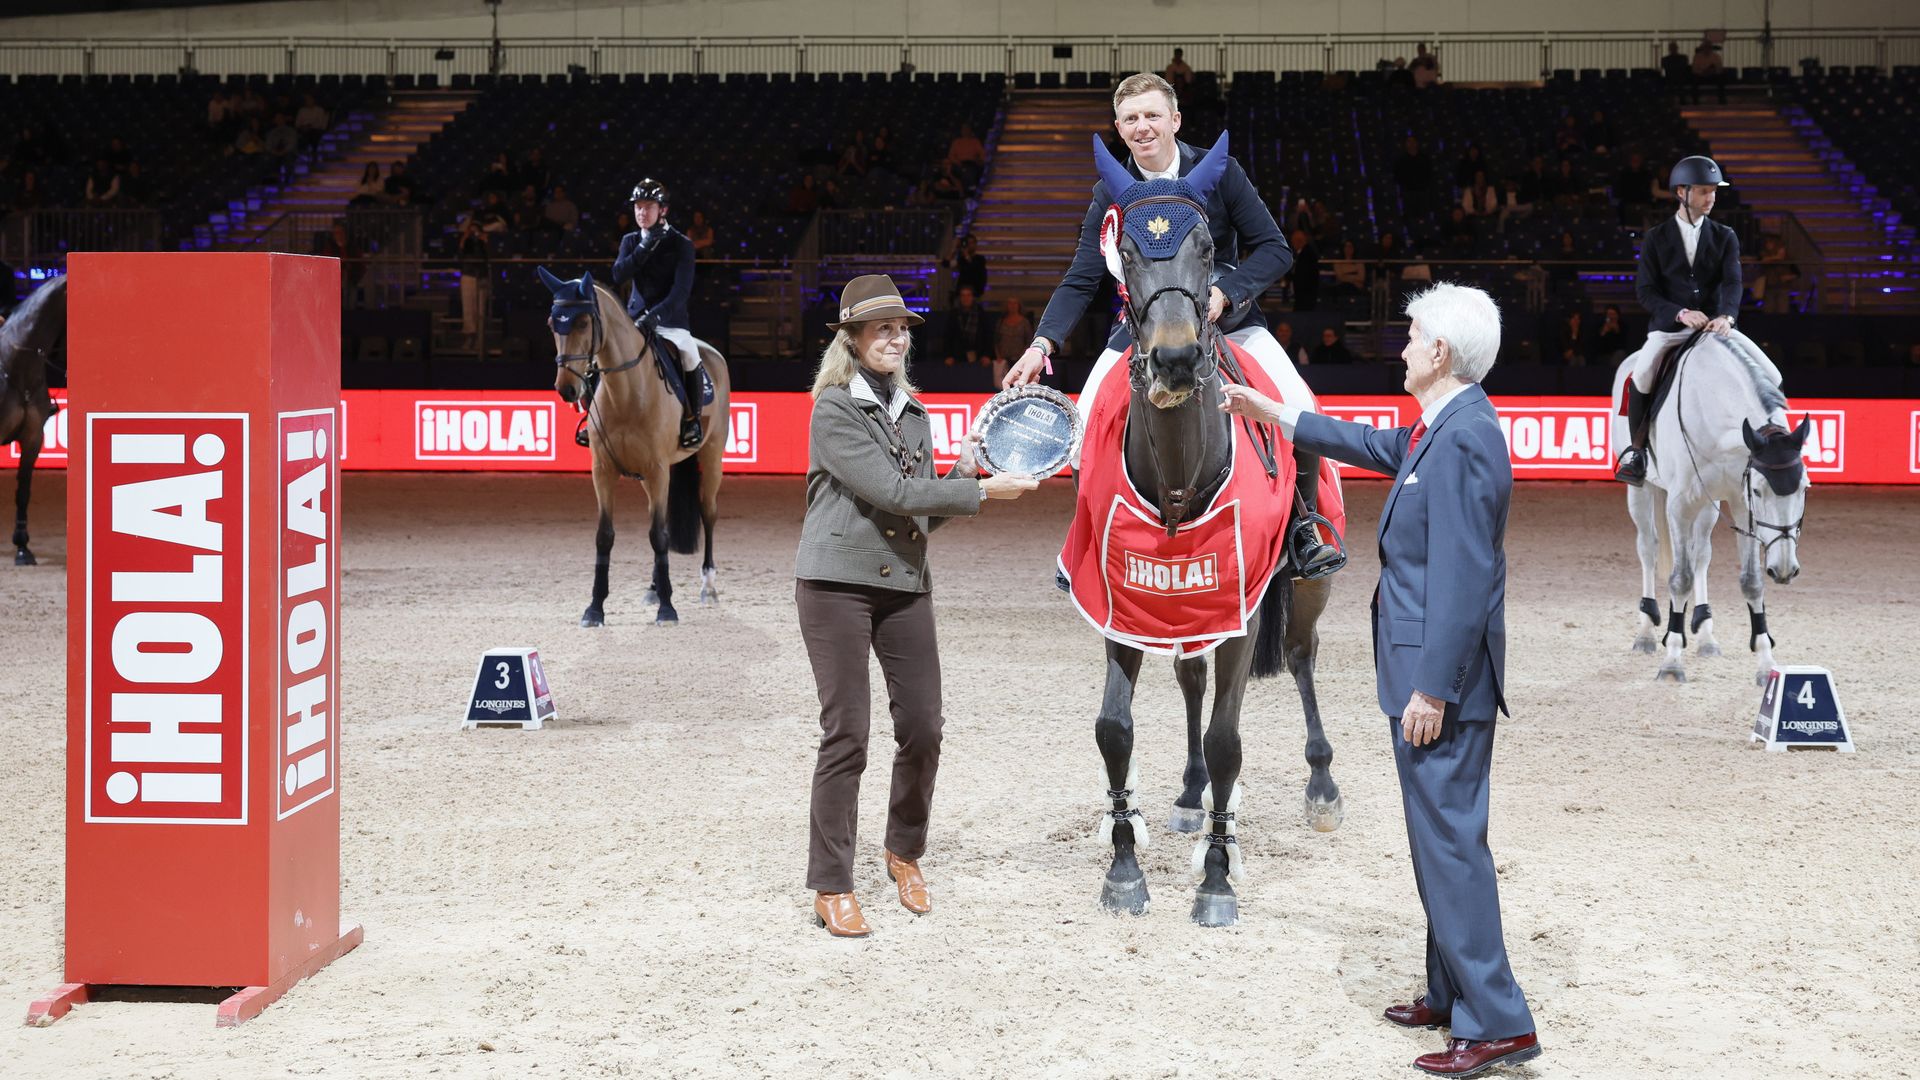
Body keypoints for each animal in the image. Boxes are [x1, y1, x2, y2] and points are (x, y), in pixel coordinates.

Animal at [541, 265, 725, 626]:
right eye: (554, 323)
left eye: (583, 323)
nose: (566, 389)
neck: (626, 391)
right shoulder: (604, 470)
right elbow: (606, 535)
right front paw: (595, 608)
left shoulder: (657, 469)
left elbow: (659, 536)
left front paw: (667, 609)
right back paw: (654, 588)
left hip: (711, 456)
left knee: (708, 513)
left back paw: (708, 587)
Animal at [1082, 134, 1336, 926]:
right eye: (1126, 250)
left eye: (1205, 245)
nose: (1173, 359)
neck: (1177, 475)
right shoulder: (1122, 605)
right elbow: (1115, 728)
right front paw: (1124, 868)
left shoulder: (1244, 611)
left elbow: (1229, 739)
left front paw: (1218, 877)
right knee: (1190, 677)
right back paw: (1193, 795)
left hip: (1302, 591)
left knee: (1303, 655)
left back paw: (1322, 786)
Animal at [1612, 330, 1804, 680]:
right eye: (1759, 491)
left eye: (1804, 487)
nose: (1784, 570)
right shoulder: (1679, 506)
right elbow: (1680, 579)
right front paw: (1672, 663)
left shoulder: (1740, 505)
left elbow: (1751, 582)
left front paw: (1765, 664)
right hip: (1642, 491)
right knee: (1648, 548)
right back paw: (1646, 633)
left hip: (1708, 502)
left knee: (1701, 554)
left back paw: (1705, 635)